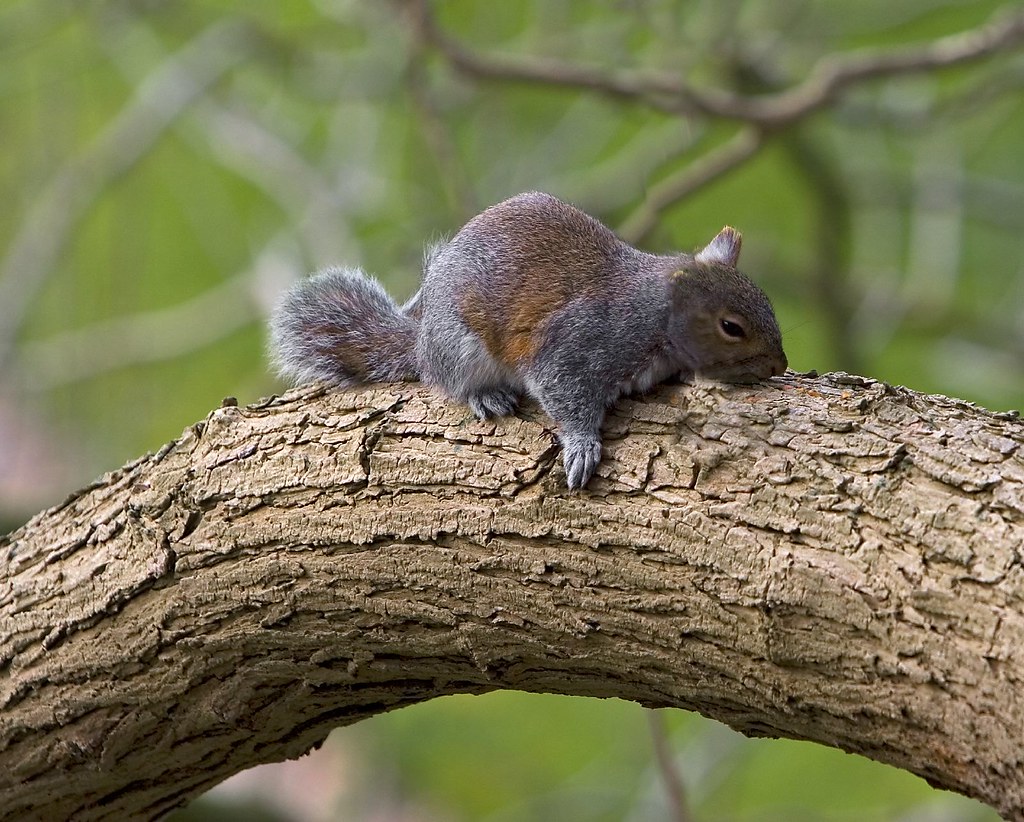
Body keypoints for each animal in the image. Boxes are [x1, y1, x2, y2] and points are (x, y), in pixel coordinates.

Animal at [270, 191, 788, 489]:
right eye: (732, 327)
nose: (780, 365)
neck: (653, 315)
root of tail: (420, 341)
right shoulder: (581, 345)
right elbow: (564, 391)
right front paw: (582, 446)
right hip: (459, 348)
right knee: (449, 381)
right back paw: (484, 395)